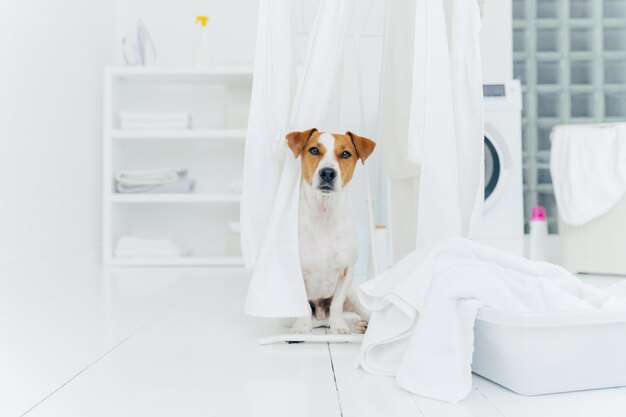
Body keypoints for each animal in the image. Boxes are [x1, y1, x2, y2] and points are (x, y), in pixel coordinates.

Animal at [284, 128, 376, 334]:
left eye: (345, 154)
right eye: (314, 150)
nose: (328, 172)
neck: (324, 215)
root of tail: (320, 317)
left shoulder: (347, 271)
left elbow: (337, 305)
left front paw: (339, 327)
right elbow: (303, 306)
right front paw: (301, 328)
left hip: (354, 296)